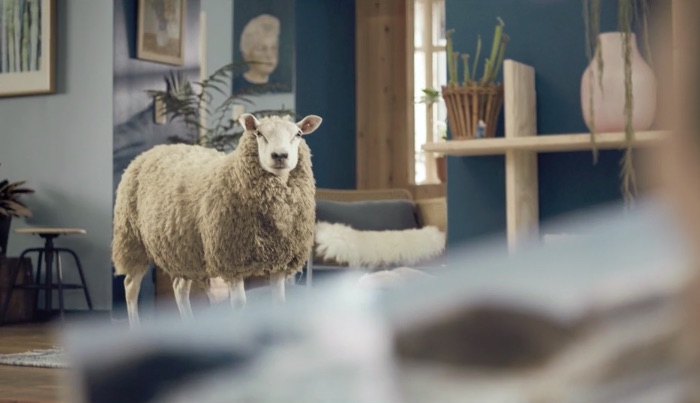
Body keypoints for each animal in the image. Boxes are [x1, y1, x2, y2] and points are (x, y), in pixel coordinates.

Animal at [112, 113, 323, 327]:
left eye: (298, 134)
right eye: (258, 133)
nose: (279, 156)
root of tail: (153, 150)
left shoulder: (280, 261)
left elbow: (279, 304)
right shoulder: (231, 260)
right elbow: (239, 306)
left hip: (184, 248)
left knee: (179, 287)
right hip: (132, 238)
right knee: (131, 286)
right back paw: (135, 325)